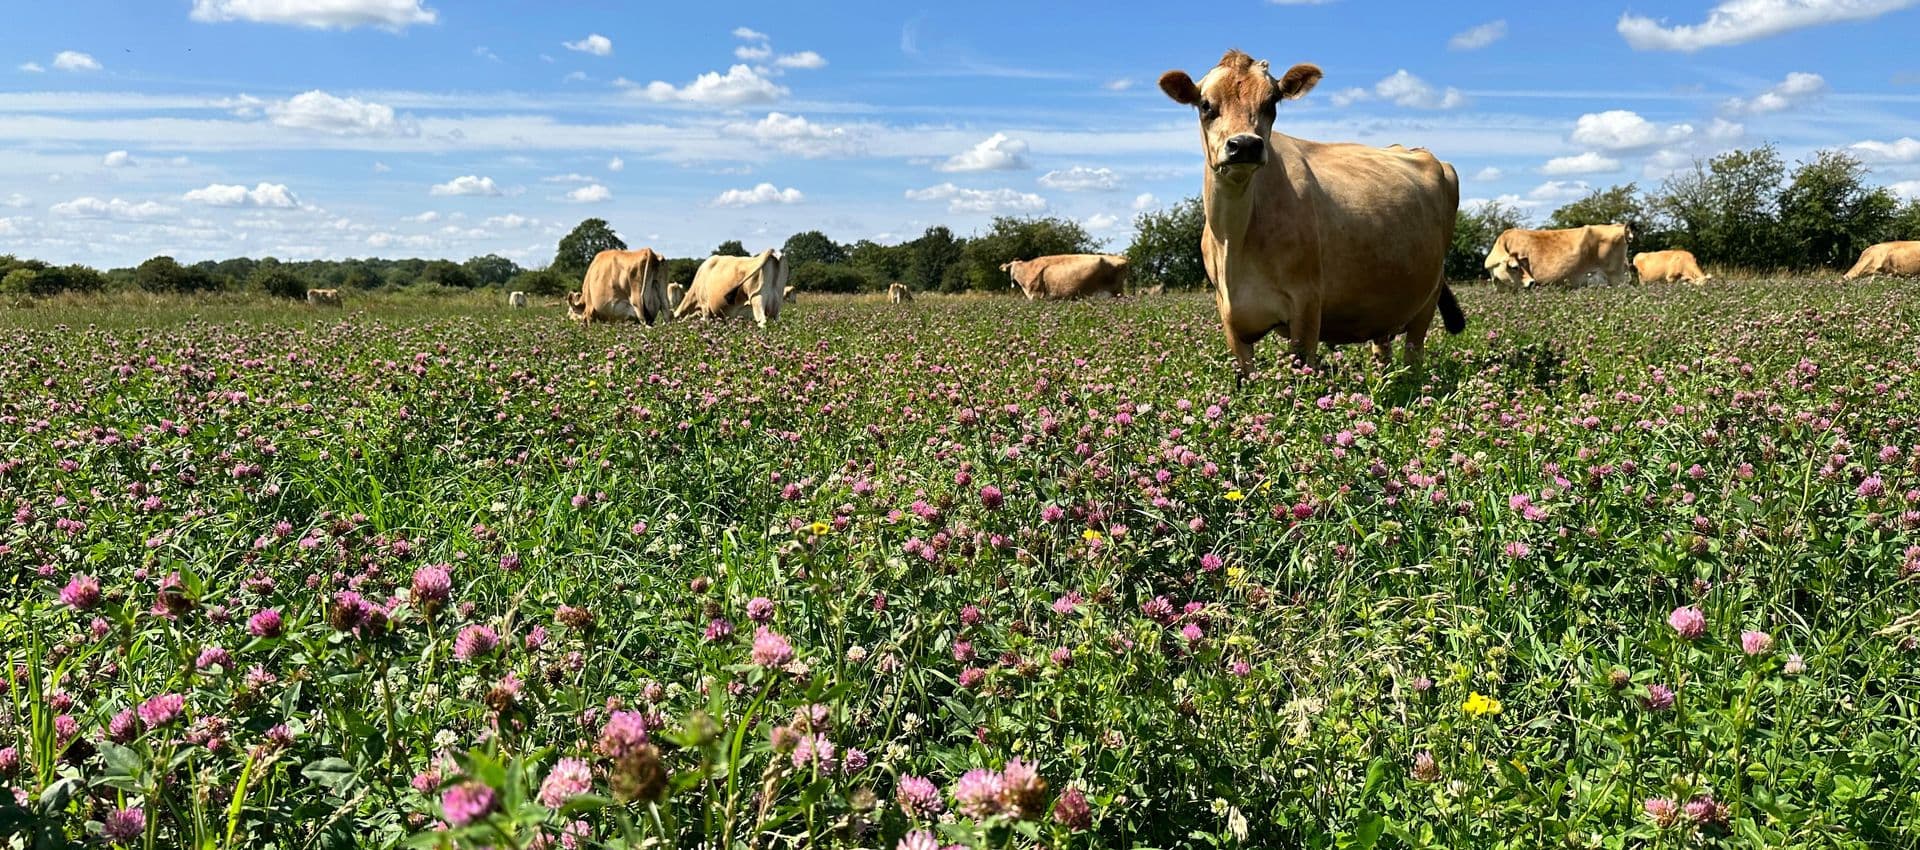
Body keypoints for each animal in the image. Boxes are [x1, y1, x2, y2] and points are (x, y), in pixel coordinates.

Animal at [1159, 50, 1464, 376]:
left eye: (1271, 103)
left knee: (1413, 354)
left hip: (1428, 297)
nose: (1245, 145)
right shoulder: (1230, 318)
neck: (1234, 239)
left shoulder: (1306, 304)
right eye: (1206, 104)